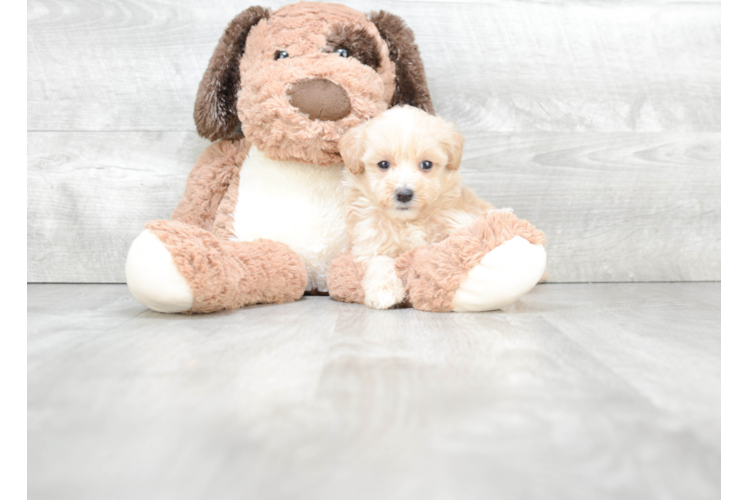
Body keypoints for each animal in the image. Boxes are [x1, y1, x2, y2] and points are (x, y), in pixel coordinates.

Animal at [340, 105, 496, 308]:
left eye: (426, 164)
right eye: (383, 164)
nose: (404, 194)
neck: (409, 221)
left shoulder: (455, 217)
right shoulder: (370, 239)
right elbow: (380, 261)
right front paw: (384, 292)